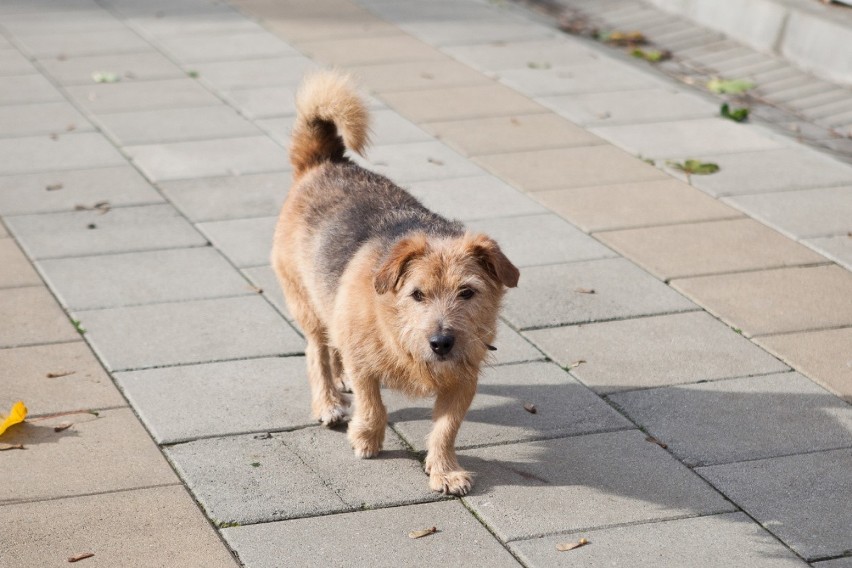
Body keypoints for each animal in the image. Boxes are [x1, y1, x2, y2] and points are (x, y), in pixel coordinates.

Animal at [272, 72, 516, 496]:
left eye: (467, 292)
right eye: (417, 294)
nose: (441, 342)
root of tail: (324, 161)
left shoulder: (463, 380)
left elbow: (445, 428)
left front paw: (444, 470)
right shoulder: (365, 363)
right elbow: (373, 403)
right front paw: (366, 437)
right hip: (305, 300)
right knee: (317, 350)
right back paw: (328, 400)